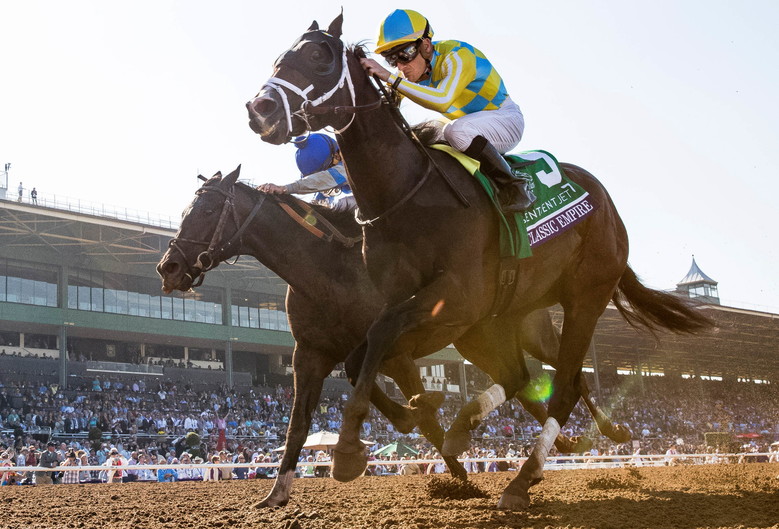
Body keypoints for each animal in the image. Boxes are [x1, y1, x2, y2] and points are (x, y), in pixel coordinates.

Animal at [157, 168, 633, 507]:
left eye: (204, 212)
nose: (168, 267)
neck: (329, 270)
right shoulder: (309, 353)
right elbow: (300, 421)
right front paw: (277, 493)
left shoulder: (398, 346)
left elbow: (394, 398)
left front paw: (435, 448)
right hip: (477, 338)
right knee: (522, 380)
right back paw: (558, 444)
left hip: (532, 329)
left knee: (569, 375)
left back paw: (609, 430)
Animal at [245, 14, 713, 509]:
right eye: (279, 56)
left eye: (319, 56)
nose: (260, 109)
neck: (406, 194)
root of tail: (604, 201)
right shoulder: (411, 303)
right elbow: (369, 352)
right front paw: (418, 412)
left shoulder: (455, 298)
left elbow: (380, 338)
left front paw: (351, 448)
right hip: (500, 317)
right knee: (524, 374)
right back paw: (480, 429)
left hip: (585, 295)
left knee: (565, 384)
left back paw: (524, 477)